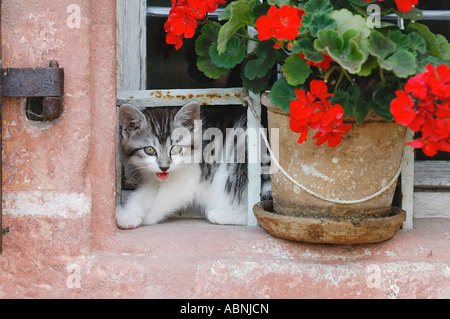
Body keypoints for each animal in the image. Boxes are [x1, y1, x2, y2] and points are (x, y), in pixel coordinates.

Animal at [116, 101, 248, 229]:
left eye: (176, 148)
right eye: (149, 150)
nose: (164, 167)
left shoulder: (189, 177)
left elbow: (166, 198)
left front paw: (147, 217)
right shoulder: (152, 177)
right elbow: (142, 194)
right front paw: (127, 216)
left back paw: (219, 215)